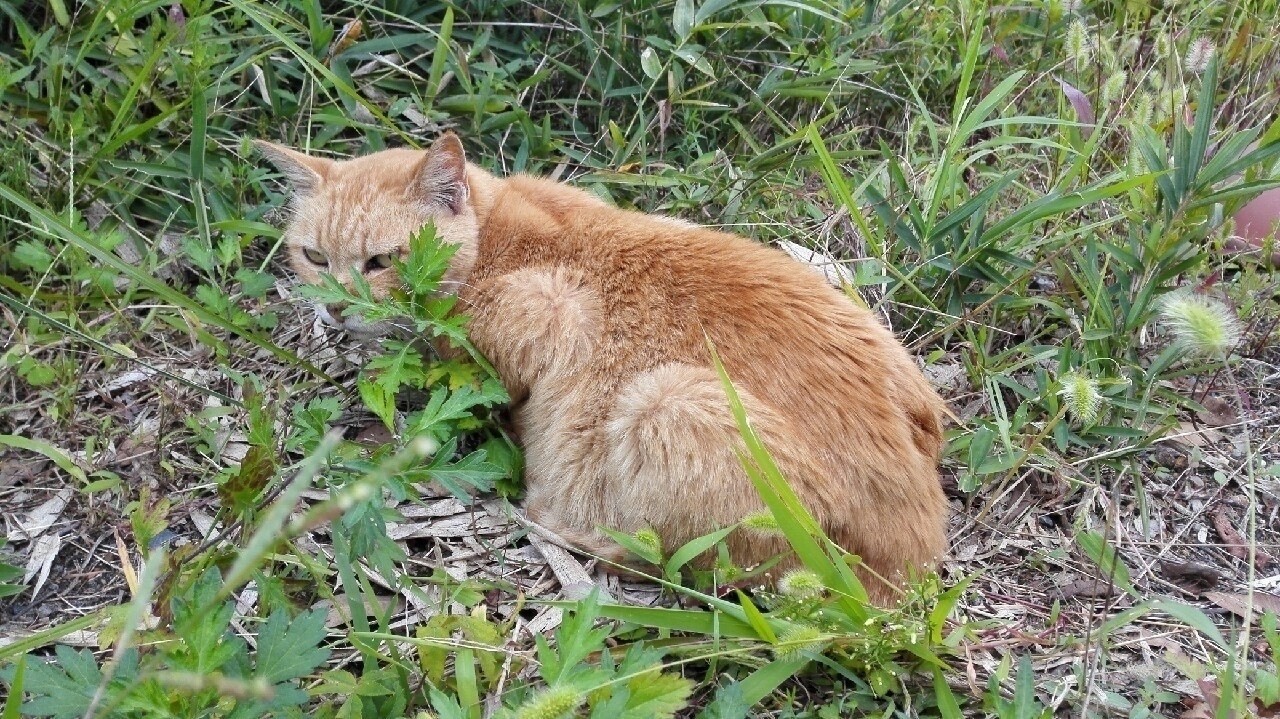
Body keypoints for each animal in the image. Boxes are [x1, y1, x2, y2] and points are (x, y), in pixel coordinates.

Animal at [254, 133, 947, 598]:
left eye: (379, 261)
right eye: (312, 256)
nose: (335, 308)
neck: (498, 236)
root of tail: (919, 549)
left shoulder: (552, 313)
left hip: (665, 400)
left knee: (704, 570)